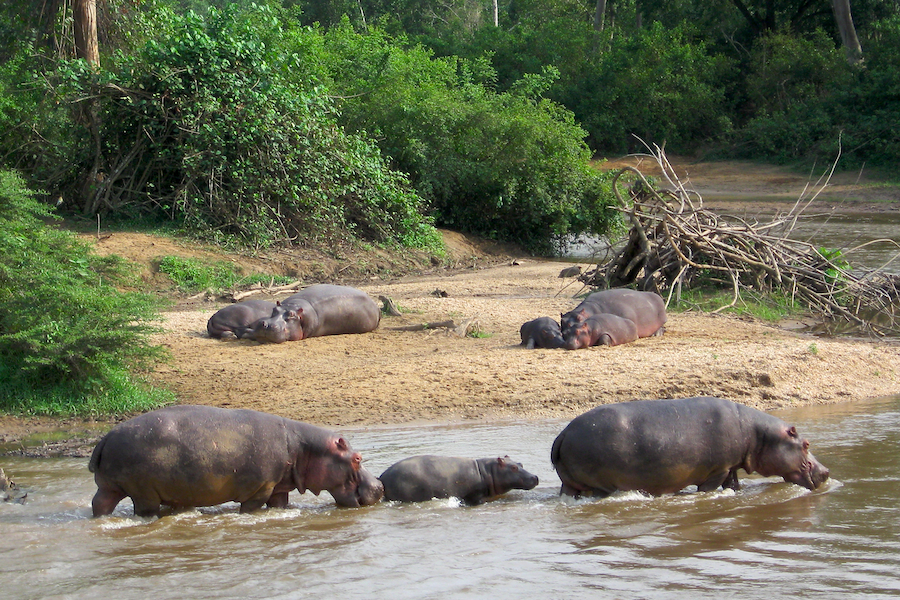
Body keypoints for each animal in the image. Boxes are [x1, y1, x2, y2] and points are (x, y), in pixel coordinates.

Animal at [89, 404, 384, 516]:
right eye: (357, 458)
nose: (380, 485)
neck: (305, 449)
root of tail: (106, 437)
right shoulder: (260, 489)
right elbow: (250, 508)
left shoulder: (278, 488)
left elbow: (279, 505)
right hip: (144, 492)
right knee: (144, 509)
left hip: (109, 486)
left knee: (100, 503)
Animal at [378, 454, 536, 506]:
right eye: (513, 468)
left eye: (520, 464)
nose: (535, 477)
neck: (486, 471)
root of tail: (382, 478)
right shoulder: (475, 496)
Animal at [548, 396, 828, 500]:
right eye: (806, 444)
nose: (826, 471)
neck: (758, 434)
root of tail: (563, 433)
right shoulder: (717, 469)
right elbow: (709, 488)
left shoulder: (731, 466)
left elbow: (734, 484)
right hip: (602, 482)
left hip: (570, 482)